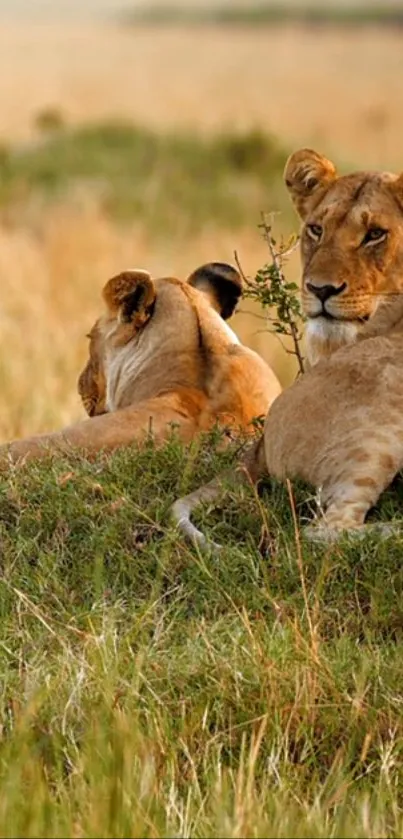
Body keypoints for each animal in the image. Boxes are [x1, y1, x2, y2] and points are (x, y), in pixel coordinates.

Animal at [173, 149, 403, 544]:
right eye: (316, 229)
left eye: (375, 235)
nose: (321, 289)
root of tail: (261, 444)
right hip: (379, 431)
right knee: (324, 529)